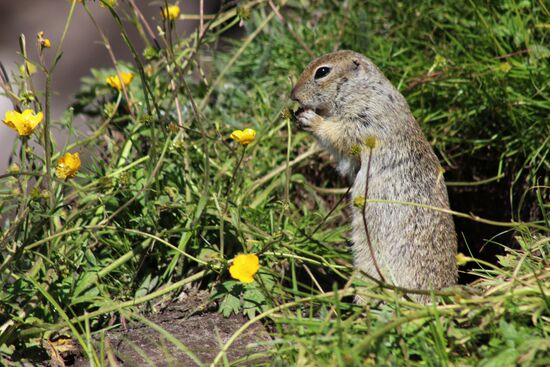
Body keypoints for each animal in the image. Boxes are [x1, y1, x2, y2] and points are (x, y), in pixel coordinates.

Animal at [292, 50, 460, 304]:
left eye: (322, 71)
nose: (293, 96)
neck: (362, 88)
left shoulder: (365, 119)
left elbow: (340, 135)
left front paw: (310, 119)